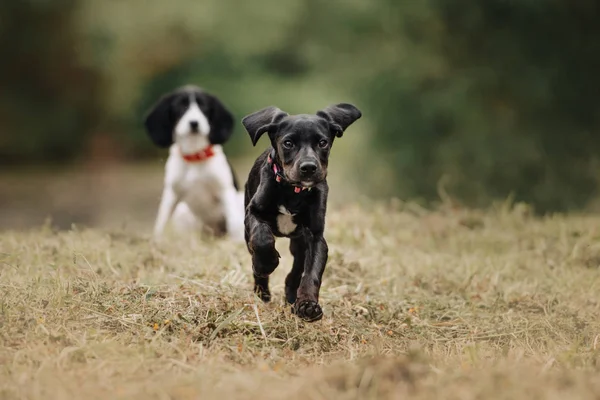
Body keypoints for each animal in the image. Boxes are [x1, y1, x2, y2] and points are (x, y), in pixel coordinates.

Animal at [143, 85, 244, 241]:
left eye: (204, 107)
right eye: (180, 106)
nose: (194, 123)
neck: (194, 156)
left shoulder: (225, 190)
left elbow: (235, 224)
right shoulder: (172, 193)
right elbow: (161, 221)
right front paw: (157, 241)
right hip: (182, 212)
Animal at [241, 103, 364, 322]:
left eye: (323, 142)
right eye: (288, 143)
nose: (308, 167)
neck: (293, 190)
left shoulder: (315, 237)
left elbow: (311, 273)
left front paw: (307, 305)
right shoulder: (253, 212)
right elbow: (262, 238)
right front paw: (266, 263)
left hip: (299, 243)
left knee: (296, 271)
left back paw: (291, 296)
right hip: (248, 234)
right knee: (255, 254)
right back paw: (262, 290)